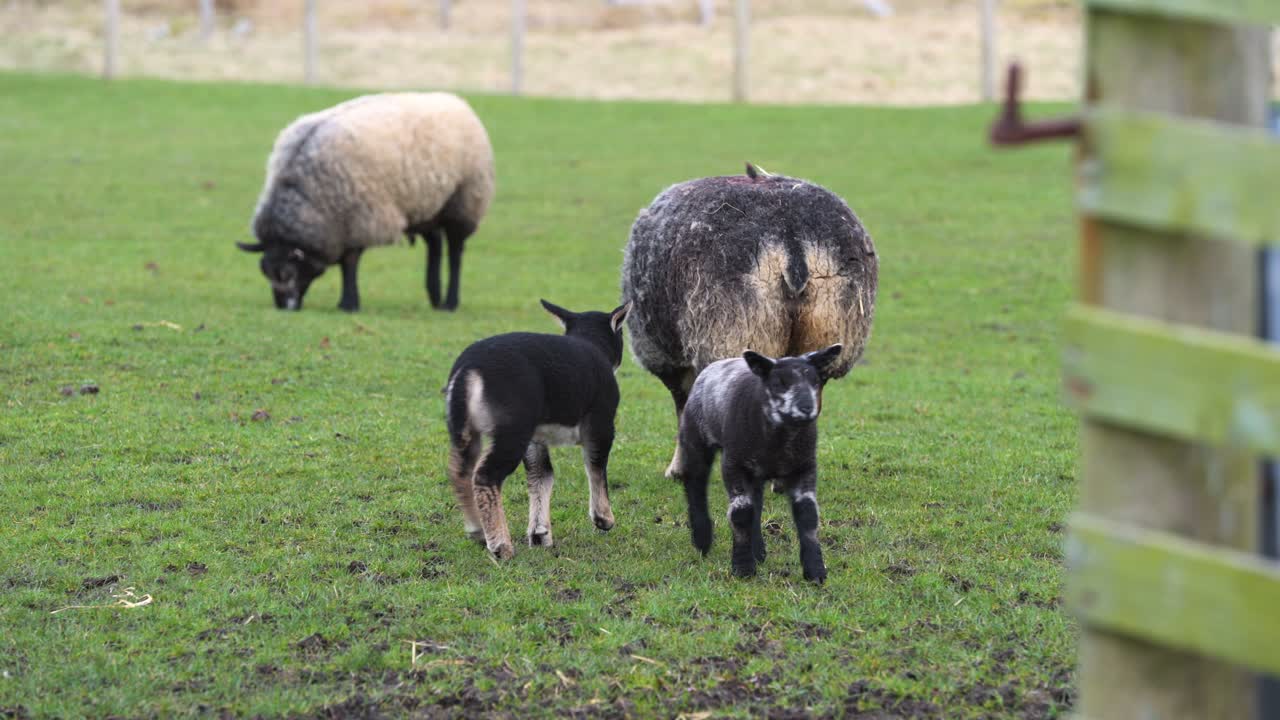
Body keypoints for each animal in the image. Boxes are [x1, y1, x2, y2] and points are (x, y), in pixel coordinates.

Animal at [237, 92, 495, 312]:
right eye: (265, 272)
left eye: (287, 273)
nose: (283, 307)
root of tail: (457, 102)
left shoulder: (359, 218)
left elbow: (349, 262)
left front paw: (348, 303)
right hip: (426, 206)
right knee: (435, 245)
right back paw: (435, 296)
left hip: (464, 201)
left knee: (455, 252)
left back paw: (450, 302)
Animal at [444, 299, 632, 560]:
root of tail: (469, 369)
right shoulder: (601, 425)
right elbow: (596, 467)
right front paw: (603, 518)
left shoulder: (535, 438)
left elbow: (541, 476)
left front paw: (540, 534)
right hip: (512, 432)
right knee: (485, 475)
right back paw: (500, 545)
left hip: (466, 431)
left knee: (459, 472)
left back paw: (477, 530)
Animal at [620, 163, 877, 473]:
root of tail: (791, 241)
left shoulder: (667, 358)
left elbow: (684, 408)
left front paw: (680, 469)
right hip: (828, 329)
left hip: (736, 332)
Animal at [671, 344, 843, 583]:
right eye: (778, 383)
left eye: (816, 381)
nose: (806, 407)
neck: (780, 440)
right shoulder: (733, 465)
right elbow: (740, 514)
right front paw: (743, 568)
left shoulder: (805, 466)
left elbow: (808, 514)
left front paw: (815, 571)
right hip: (696, 438)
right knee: (695, 484)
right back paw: (702, 539)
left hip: (756, 471)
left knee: (757, 503)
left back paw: (758, 550)